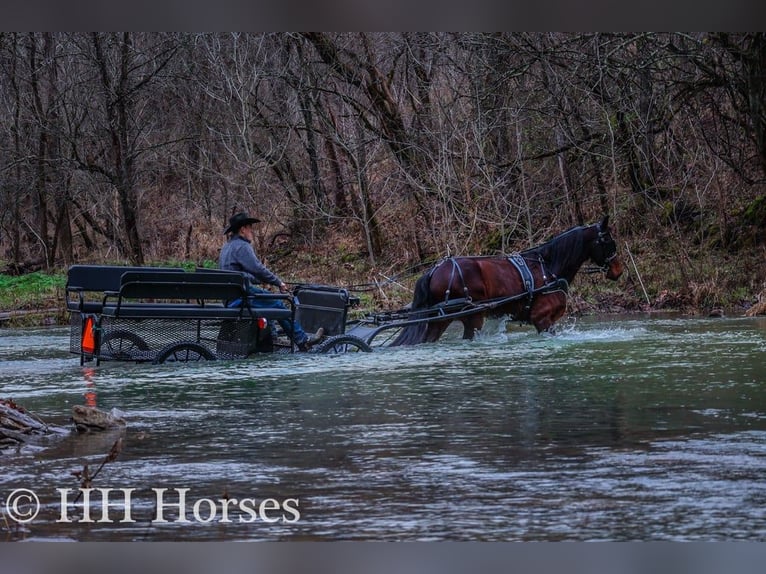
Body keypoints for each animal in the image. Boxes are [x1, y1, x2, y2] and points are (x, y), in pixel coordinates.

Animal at [392, 218, 628, 346]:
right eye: (608, 240)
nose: (618, 270)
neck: (548, 268)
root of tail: (435, 269)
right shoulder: (542, 319)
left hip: (440, 320)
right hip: (472, 317)